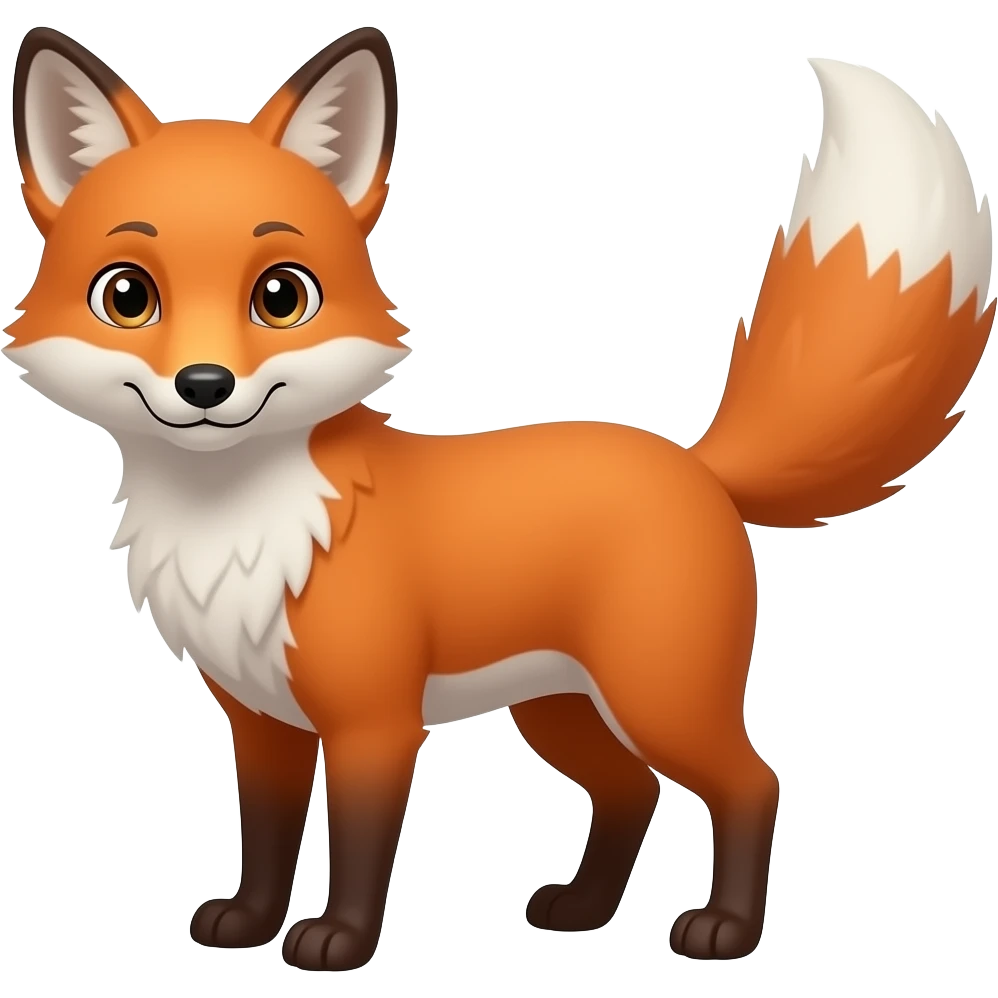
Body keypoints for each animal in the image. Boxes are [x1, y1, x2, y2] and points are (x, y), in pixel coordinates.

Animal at [5, 26, 995, 972]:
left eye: (281, 297)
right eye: (127, 296)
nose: (204, 385)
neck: (239, 522)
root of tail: (694, 464)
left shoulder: (375, 722)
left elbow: (357, 847)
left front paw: (338, 944)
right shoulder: (261, 720)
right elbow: (270, 836)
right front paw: (248, 924)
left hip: (658, 696)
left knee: (754, 783)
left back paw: (725, 930)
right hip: (559, 708)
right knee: (633, 791)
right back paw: (584, 911)